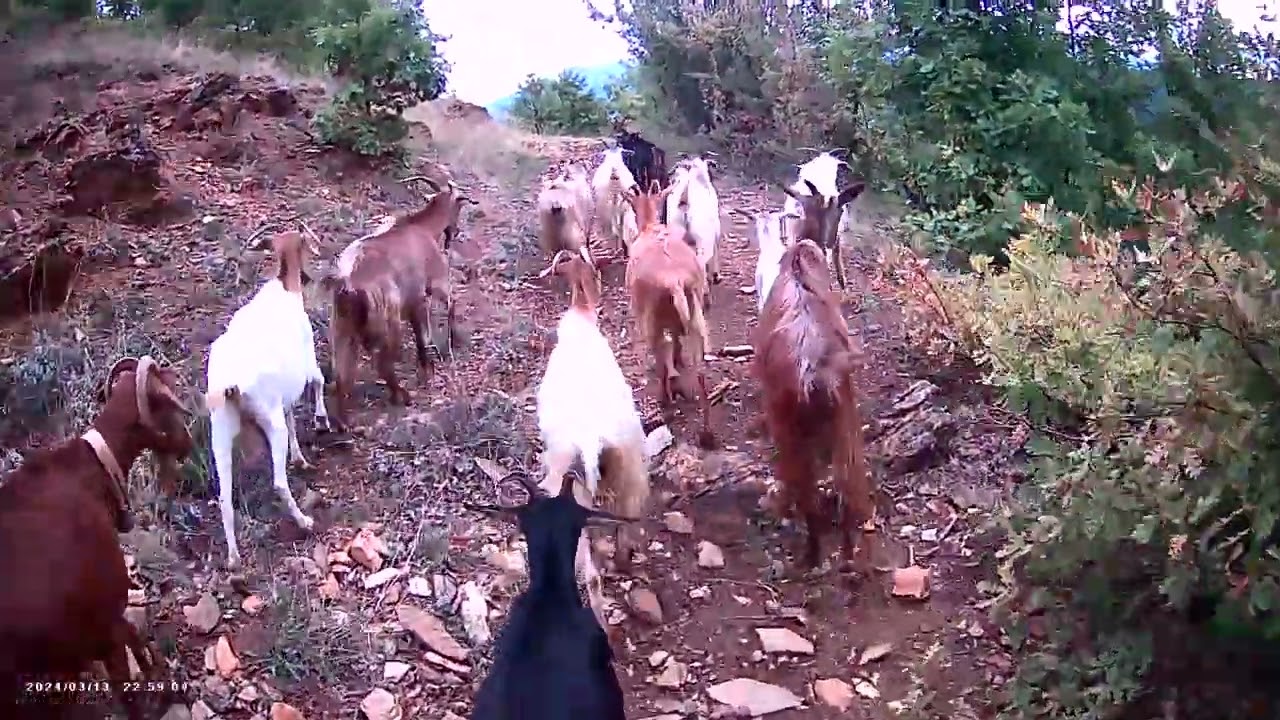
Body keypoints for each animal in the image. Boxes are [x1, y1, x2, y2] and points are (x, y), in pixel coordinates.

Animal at [206, 230, 331, 570]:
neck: (284, 289)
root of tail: (230, 384)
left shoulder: (284, 393)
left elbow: (292, 414)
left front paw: (299, 456)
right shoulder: (306, 361)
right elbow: (319, 380)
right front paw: (322, 420)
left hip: (220, 429)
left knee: (224, 496)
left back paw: (234, 560)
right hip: (267, 420)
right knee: (277, 481)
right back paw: (304, 522)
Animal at [325, 178, 471, 428]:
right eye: (459, 205)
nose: (455, 231)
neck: (421, 229)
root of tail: (349, 281)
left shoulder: (413, 303)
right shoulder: (428, 289)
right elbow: (436, 321)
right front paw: (444, 350)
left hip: (342, 325)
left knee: (342, 374)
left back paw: (345, 422)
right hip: (387, 315)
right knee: (382, 362)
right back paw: (401, 395)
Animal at [625, 180, 714, 447]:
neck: (650, 228)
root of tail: (674, 279)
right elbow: (676, 341)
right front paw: (678, 362)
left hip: (650, 318)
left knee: (659, 354)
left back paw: (665, 402)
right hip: (695, 313)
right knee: (700, 369)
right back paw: (707, 434)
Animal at [753, 238, 874, 571]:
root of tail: (815, 373)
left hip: (794, 438)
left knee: (809, 501)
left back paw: (810, 553)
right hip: (846, 433)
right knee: (846, 498)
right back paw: (848, 560)